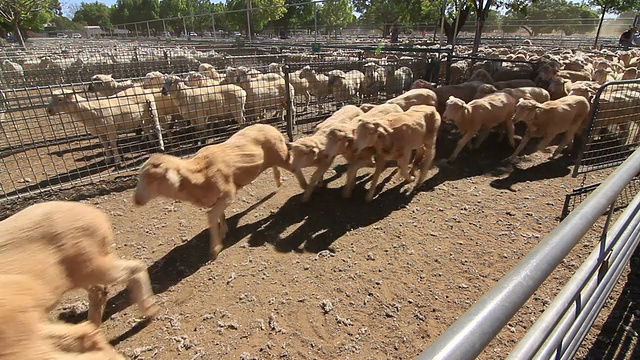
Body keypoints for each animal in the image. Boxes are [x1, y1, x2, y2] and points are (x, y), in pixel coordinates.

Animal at [0, 201, 159, 328]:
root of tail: (97, 214)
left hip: (92, 263)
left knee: (136, 267)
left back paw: (150, 312)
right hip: (82, 272)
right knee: (99, 290)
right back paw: (91, 327)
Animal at [132, 122, 304, 260]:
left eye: (153, 179)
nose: (136, 200)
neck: (198, 174)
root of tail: (272, 127)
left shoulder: (228, 194)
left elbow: (211, 216)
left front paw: (215, 248)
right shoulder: (218, 198)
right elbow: (220, 215)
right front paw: (224, 231)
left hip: (281, 155)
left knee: (294, 167)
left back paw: (305, 186)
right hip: (274, 157)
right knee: (275, 166)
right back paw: (278, 180)